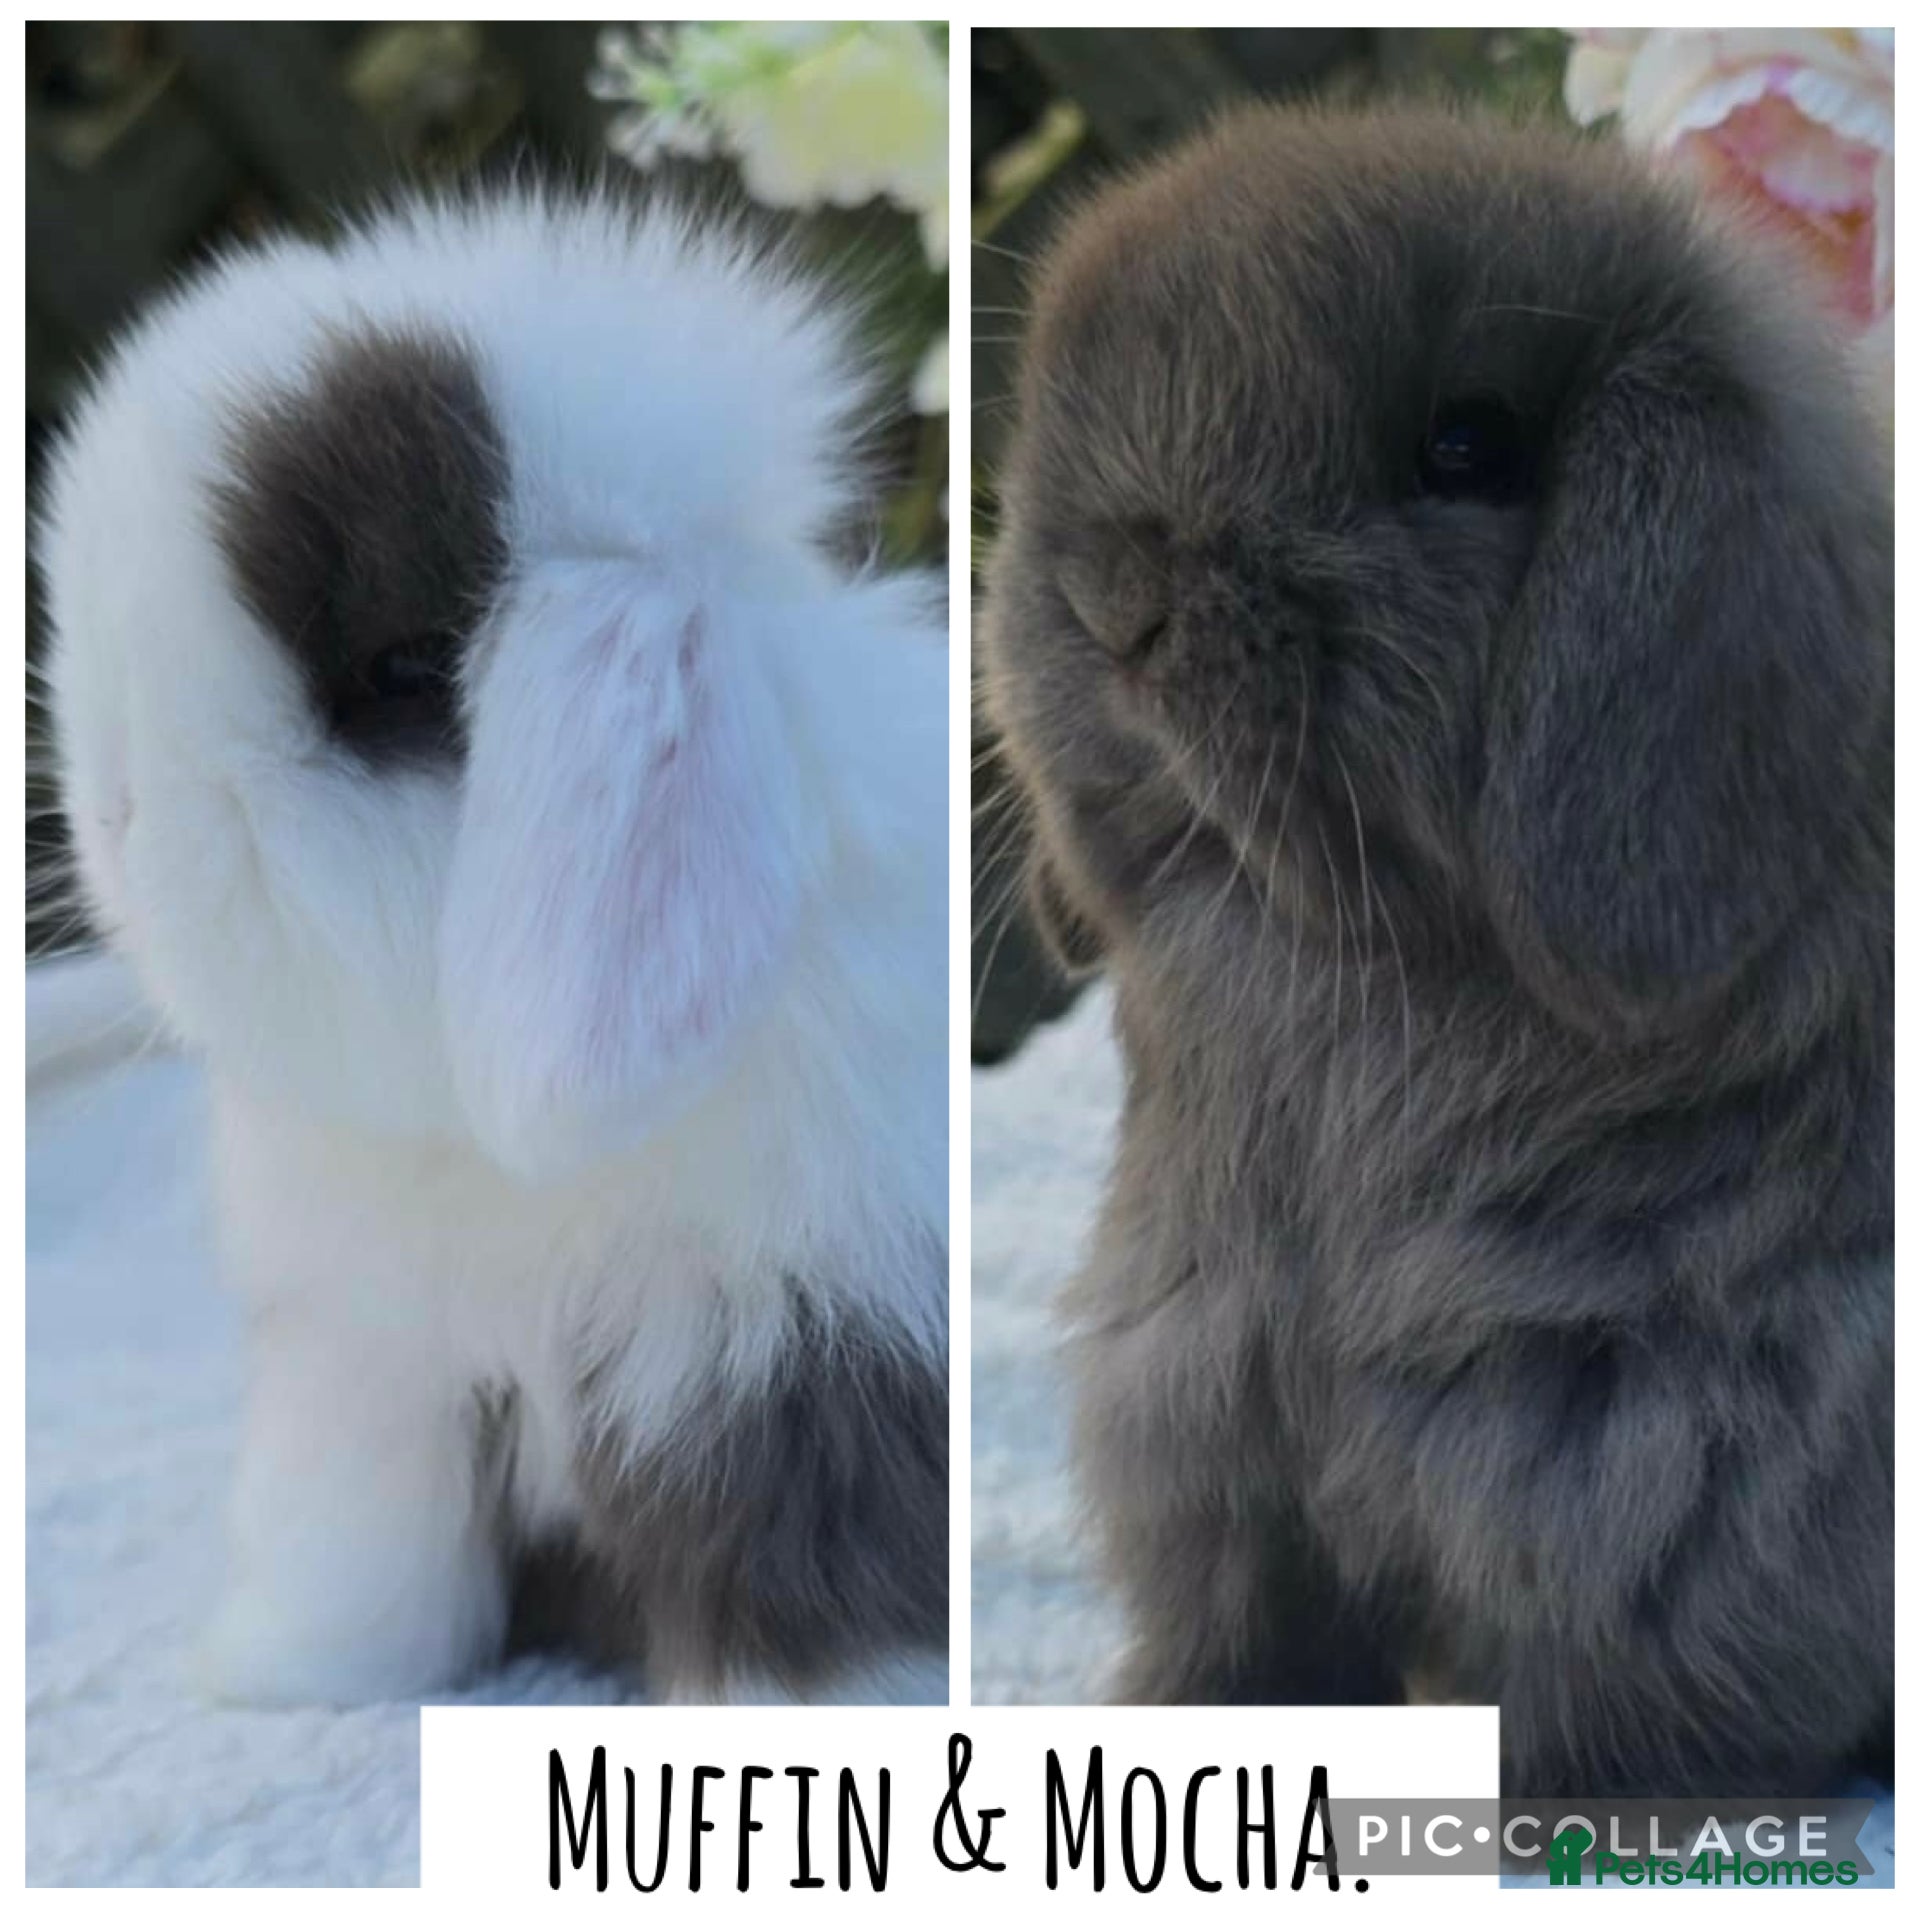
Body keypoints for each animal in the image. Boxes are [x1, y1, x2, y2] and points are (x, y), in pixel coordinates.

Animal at [40, 185, 949, 1708]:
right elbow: (366, 1549)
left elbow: (813, 1610)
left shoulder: (798, 1384)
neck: (483, 1158)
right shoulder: (375, 1367)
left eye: (403, 672)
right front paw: (281, 1675)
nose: (112, 810)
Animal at [980, 106, 1891, 1798]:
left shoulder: (1663, 1483)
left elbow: (1606, 1709)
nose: (1112, 601)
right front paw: (1173, 1716)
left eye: (1465, 451)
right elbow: (1244, 1642)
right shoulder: (1207, 1410)